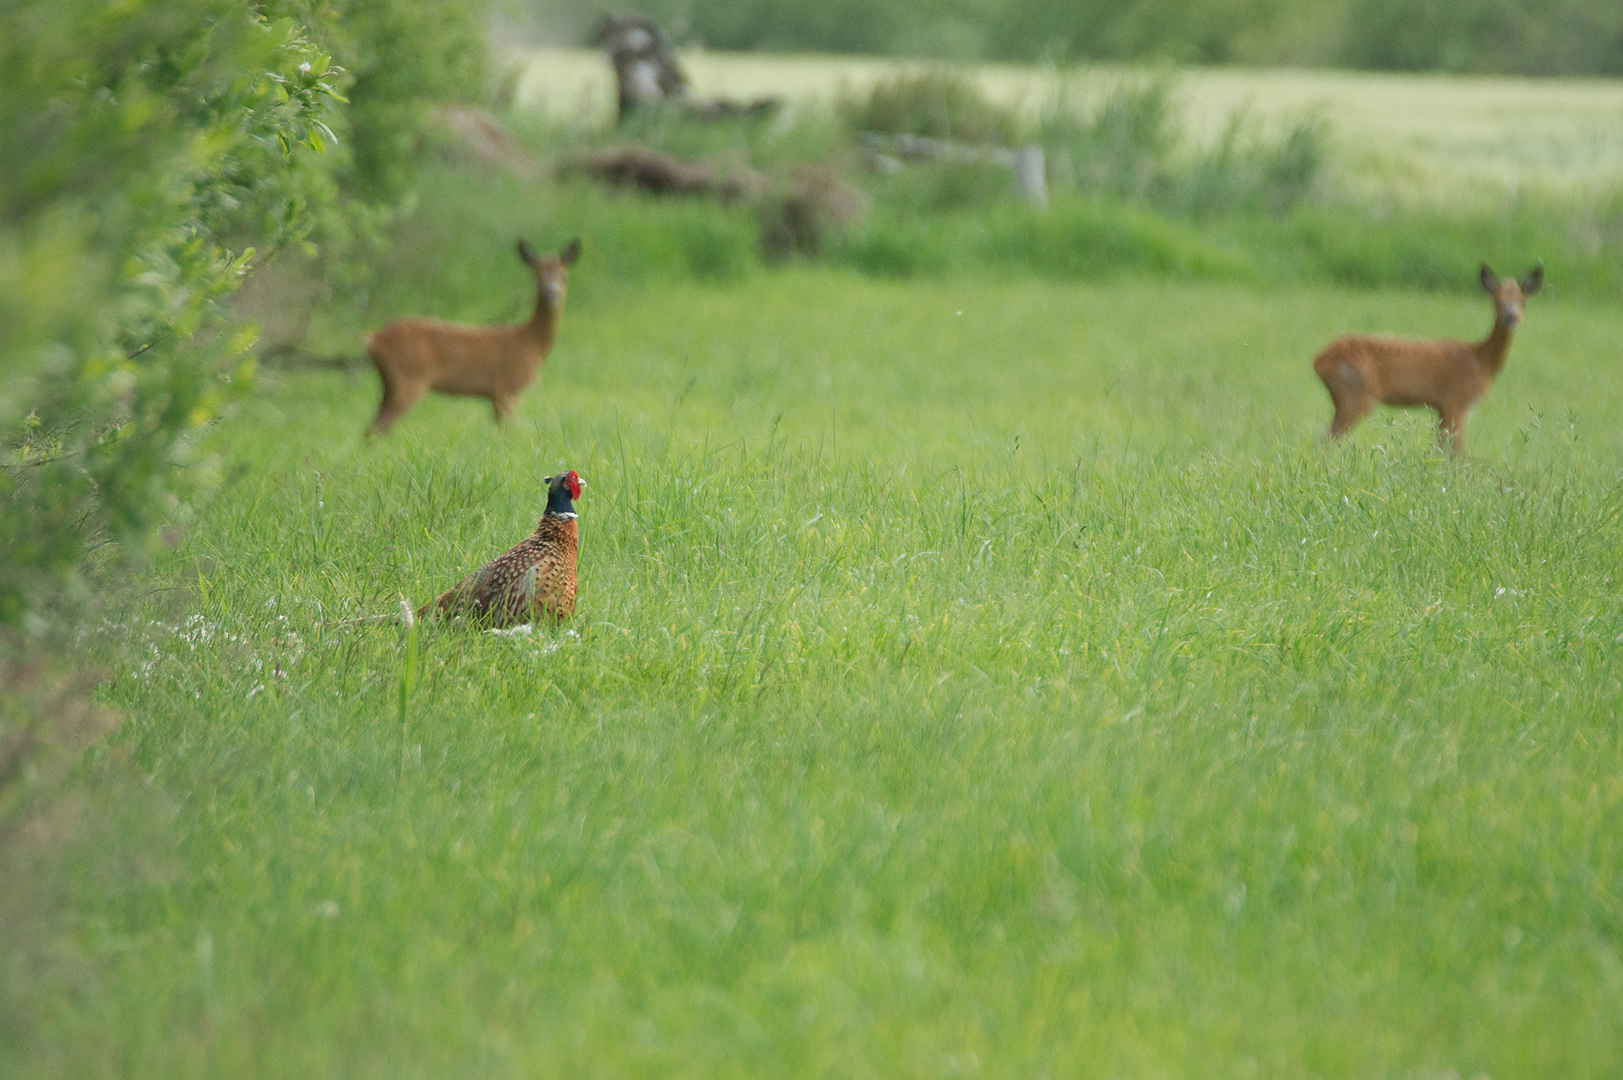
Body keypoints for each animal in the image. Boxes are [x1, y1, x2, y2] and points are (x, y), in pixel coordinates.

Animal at [365, 238, 581, 435]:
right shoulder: (507, 389)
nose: (550, 293)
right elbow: (508, 432)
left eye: (564, 276)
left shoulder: (497, 395)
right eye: (537, 275)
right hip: (408, 378)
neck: (531, 342)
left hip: (389, 384)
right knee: (379, 427)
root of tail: (374, 338)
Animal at [1311, 263, 1538, 451]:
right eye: (1496, 301)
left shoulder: (1442, 407)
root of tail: (1318, 361)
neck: (1482, 360)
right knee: (1326, 440)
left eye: (1523, 301)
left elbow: (1442, 449)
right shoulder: (1457, 401)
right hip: (1356, 393)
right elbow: (1456, 452)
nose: (1512, 317)